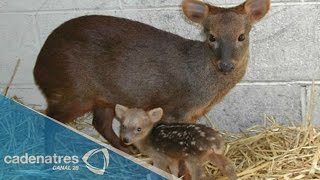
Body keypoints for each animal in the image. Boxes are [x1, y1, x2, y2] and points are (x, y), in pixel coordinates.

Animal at [33, 0, 270, 152]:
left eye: (241, 36)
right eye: (211, 36)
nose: (226, 65)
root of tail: (38, 68)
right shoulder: (176, 110)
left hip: (104, 97)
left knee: (100, 123)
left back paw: (127, 151)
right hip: (73, 91)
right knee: (49, 117)